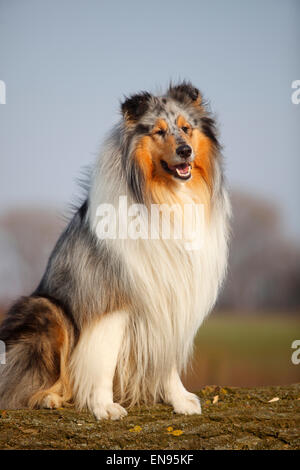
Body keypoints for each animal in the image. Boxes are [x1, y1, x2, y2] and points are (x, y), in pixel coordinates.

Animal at [0, 81, 231, 418]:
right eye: (159, 131)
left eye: (187, 129)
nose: (185, 150)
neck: (164, 198)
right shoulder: (112, 298)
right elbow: (103, 360)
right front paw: (103, 406)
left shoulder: (171, 299)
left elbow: (167, 361)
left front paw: (179, 399)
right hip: (47, 309)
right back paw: (49, 397)